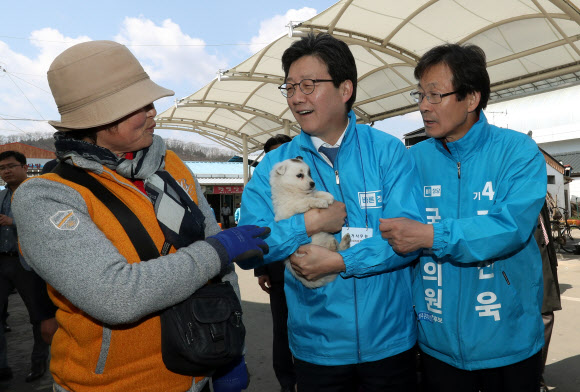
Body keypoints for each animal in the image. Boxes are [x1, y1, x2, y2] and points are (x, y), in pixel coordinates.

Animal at [268, 156, 348, 288]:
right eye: (300, 175)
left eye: (309, 174)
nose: (313, 183)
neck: (294, 192)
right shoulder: (288, 209)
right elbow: (307, 200)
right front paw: (320, 202)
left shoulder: (310, 193)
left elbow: (316, 193)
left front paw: (328, 197)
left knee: (339, 252)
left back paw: (342, 242)